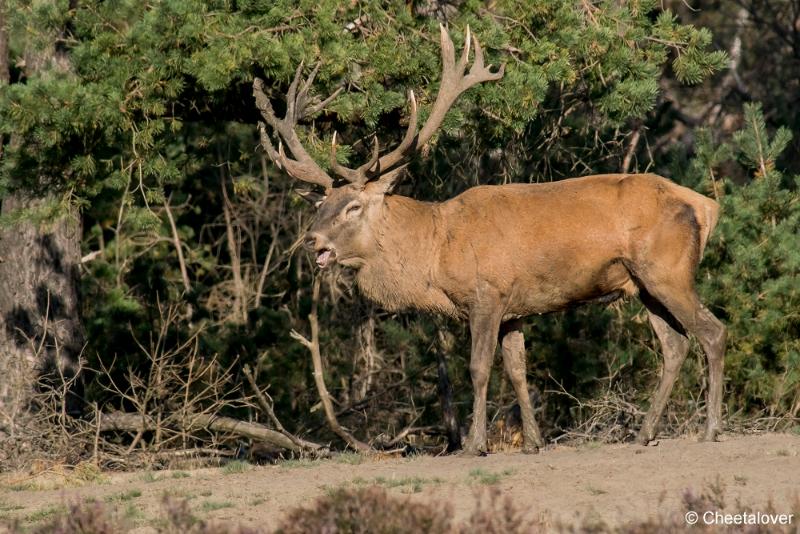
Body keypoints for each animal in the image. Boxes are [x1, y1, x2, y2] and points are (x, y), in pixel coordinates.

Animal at [253, 23, 728, 454]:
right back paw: (644, 434)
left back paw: (710, 429)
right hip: (642, 285)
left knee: (712, 331)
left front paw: (474, 444)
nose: (312, 240)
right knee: (675, 345)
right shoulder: (517, 308)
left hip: (667, 270)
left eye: (352, 206)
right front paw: (534, 442)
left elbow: (478, 369)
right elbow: (518, 369)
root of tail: (705, 206)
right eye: (320, 203)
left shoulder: (488, 293)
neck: (437, 250)